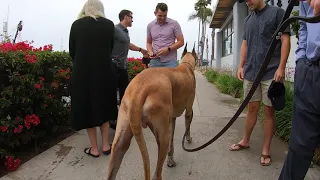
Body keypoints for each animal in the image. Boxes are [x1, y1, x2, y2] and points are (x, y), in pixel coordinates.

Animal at [107, 43, 198, 180]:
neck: (186, 65)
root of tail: (140, 89)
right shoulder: (188, 110)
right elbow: (188, 125)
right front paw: (188, 138)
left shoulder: (172, 118)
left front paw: (170, 159)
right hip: (163, 134)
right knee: (156, 174)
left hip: (123, 129)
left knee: (117, 153)